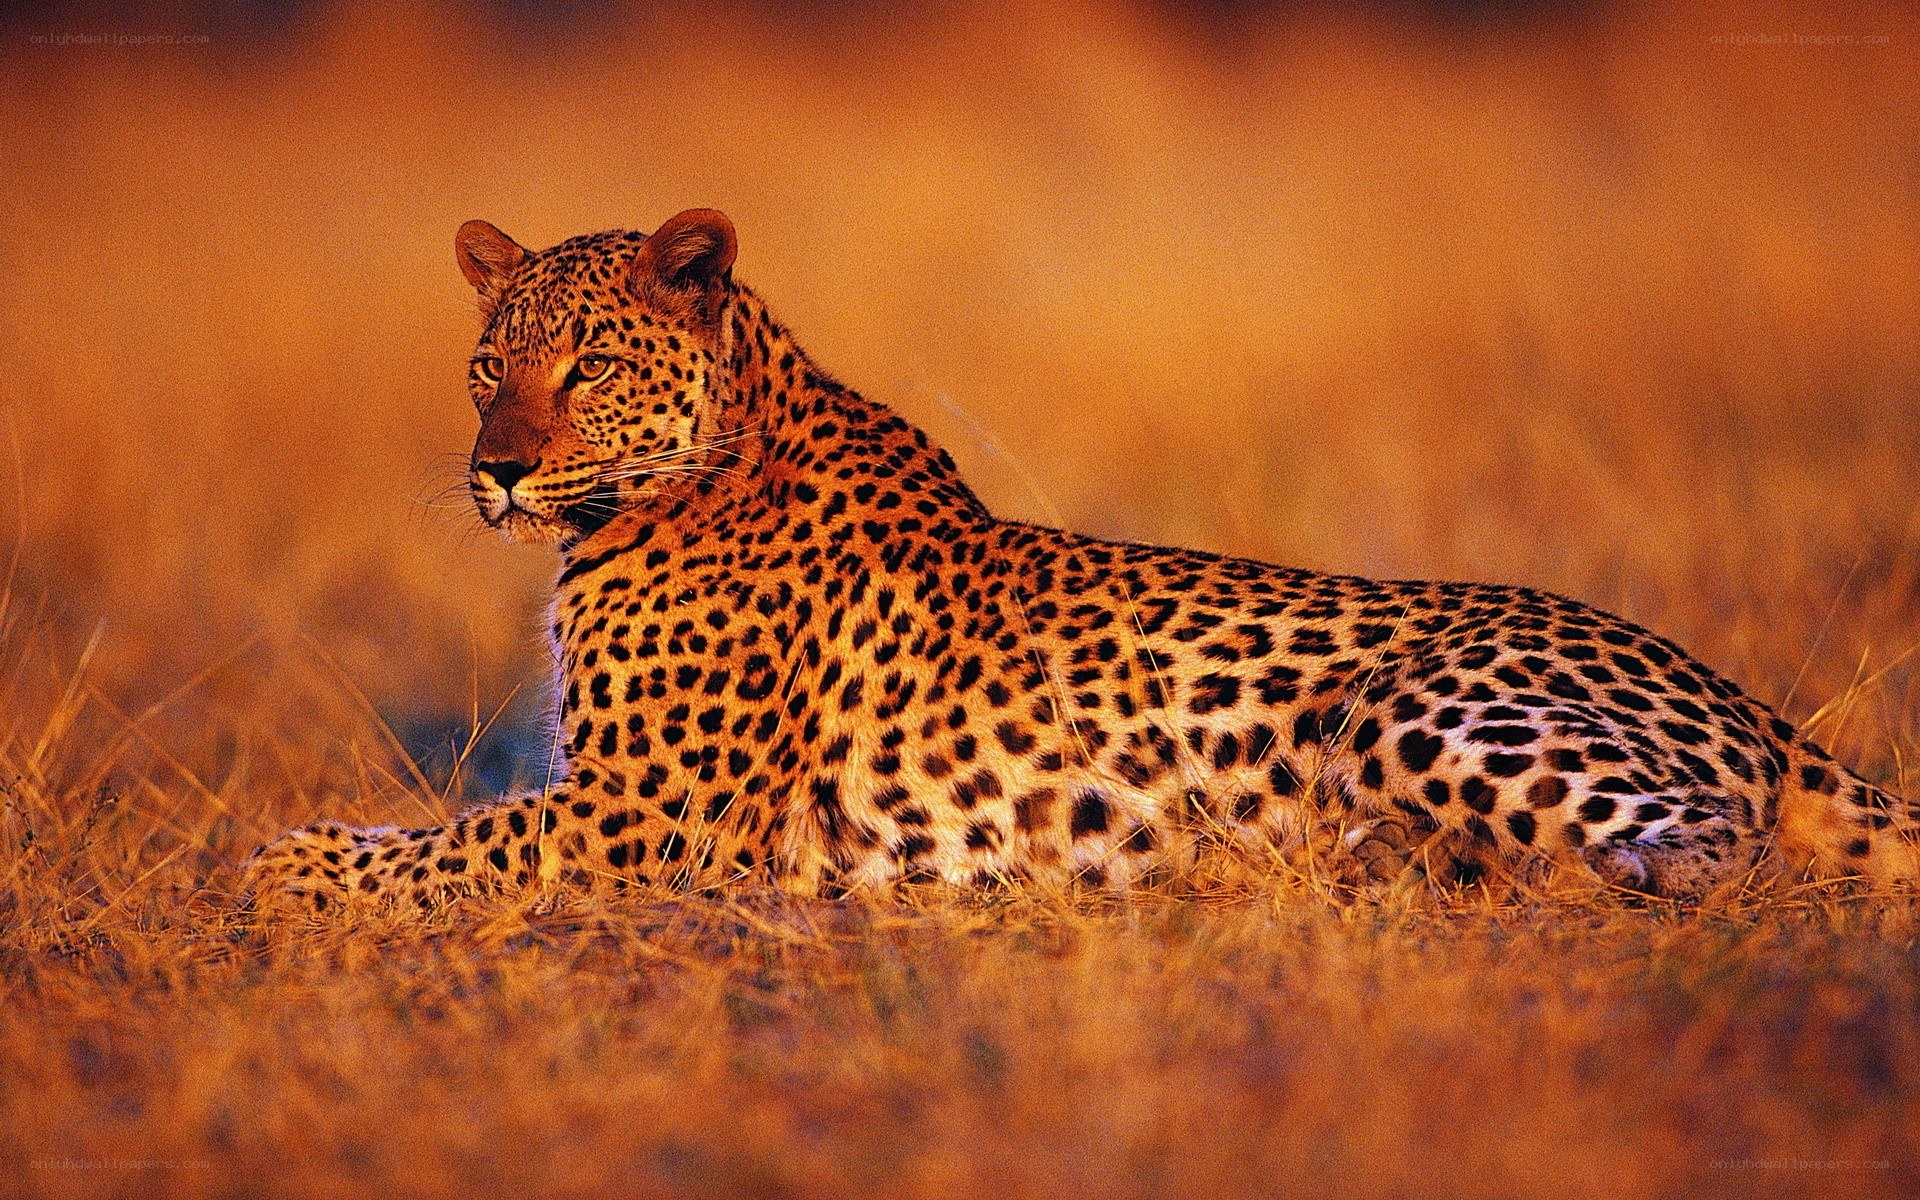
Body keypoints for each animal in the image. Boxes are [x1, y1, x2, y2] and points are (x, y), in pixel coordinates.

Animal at [242, 207, 1918, 914]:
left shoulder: (649, 813)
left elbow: (451, 848)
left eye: (583, 364)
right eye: (486, 367)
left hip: (1412, 707)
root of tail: (1751, 702)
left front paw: (280, 864)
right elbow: (448, 830)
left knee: (1714, 856)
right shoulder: (612, 797)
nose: (494, 470)